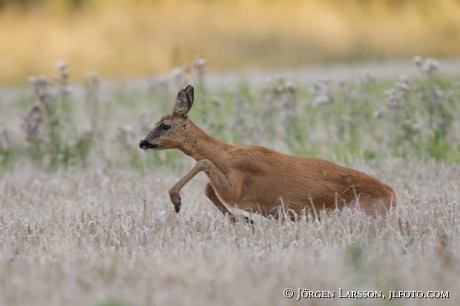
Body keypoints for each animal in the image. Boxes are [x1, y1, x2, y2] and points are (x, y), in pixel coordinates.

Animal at [138, 85, 398, 221]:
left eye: (165, 126)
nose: (142, 142)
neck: (227, 156)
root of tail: (393, 194)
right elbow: (207, 186)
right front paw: (242, 221)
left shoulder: (239, 189)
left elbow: (202, 164)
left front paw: (176, 201)